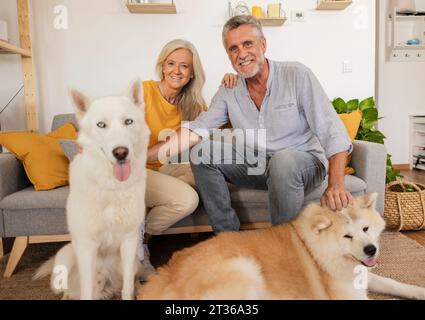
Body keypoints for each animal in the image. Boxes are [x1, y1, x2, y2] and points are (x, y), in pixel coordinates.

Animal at [35, 80, 151, 300]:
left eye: (128, 121)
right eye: (101, 125)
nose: (121, 152)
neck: (111, 187)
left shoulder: (129, 240)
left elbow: (128, 288)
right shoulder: (87, 245)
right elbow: (86, 291)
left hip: (133, 262)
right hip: (65, 260)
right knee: (69, 291)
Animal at [137, 192, 424, 300]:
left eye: (365, 230)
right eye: (347, 236)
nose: (371, 250)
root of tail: (164, 276)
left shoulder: (360, 274)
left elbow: (394, 284)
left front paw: (417, 291)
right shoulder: (346, 293)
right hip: (244, 269)